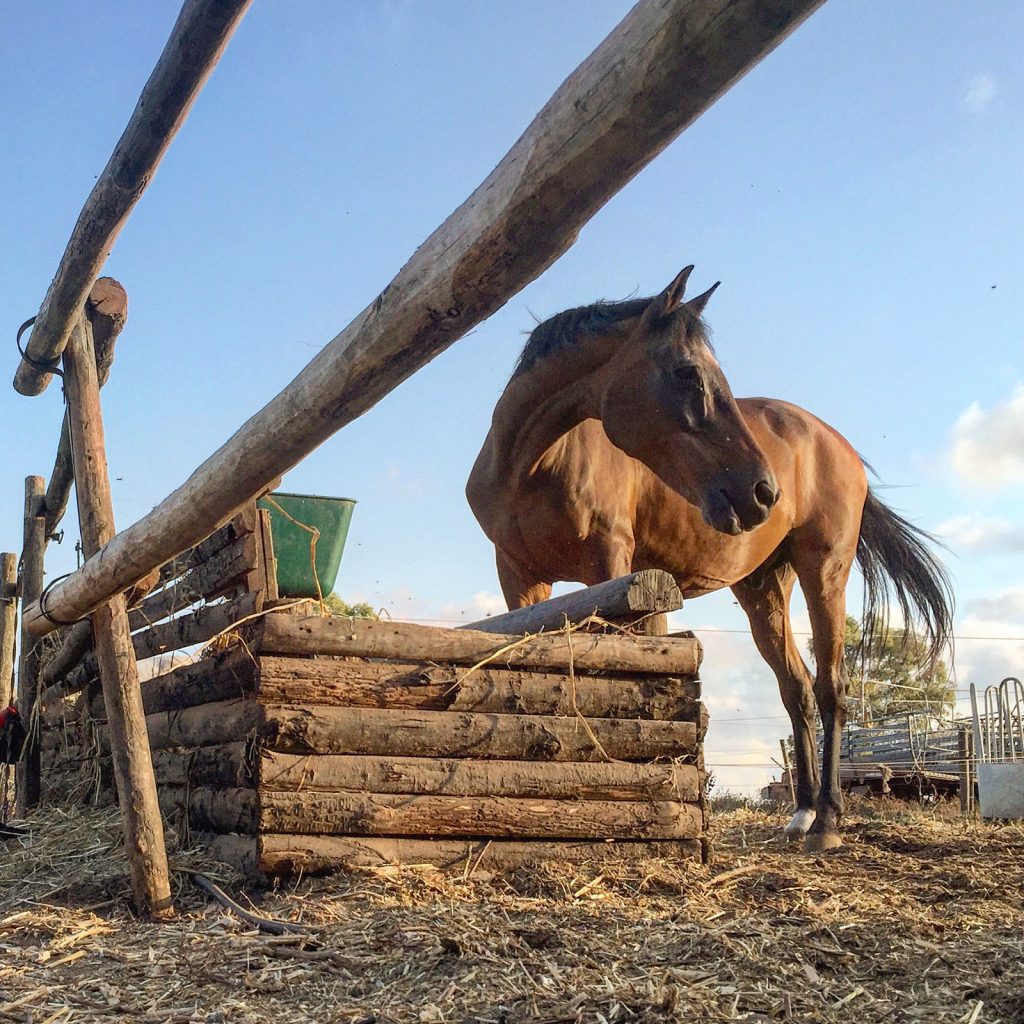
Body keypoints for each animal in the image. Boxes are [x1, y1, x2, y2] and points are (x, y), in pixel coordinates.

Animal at [468, 264, 954, 847]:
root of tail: (838, 446)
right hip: (764, 586)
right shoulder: (519, 577)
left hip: (824, 570)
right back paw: (802, 812)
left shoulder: (609, 567)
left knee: (830, 687)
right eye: (688, 374)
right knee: (796, 690)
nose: (764, 492)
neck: (532, 465)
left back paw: (828, 821)